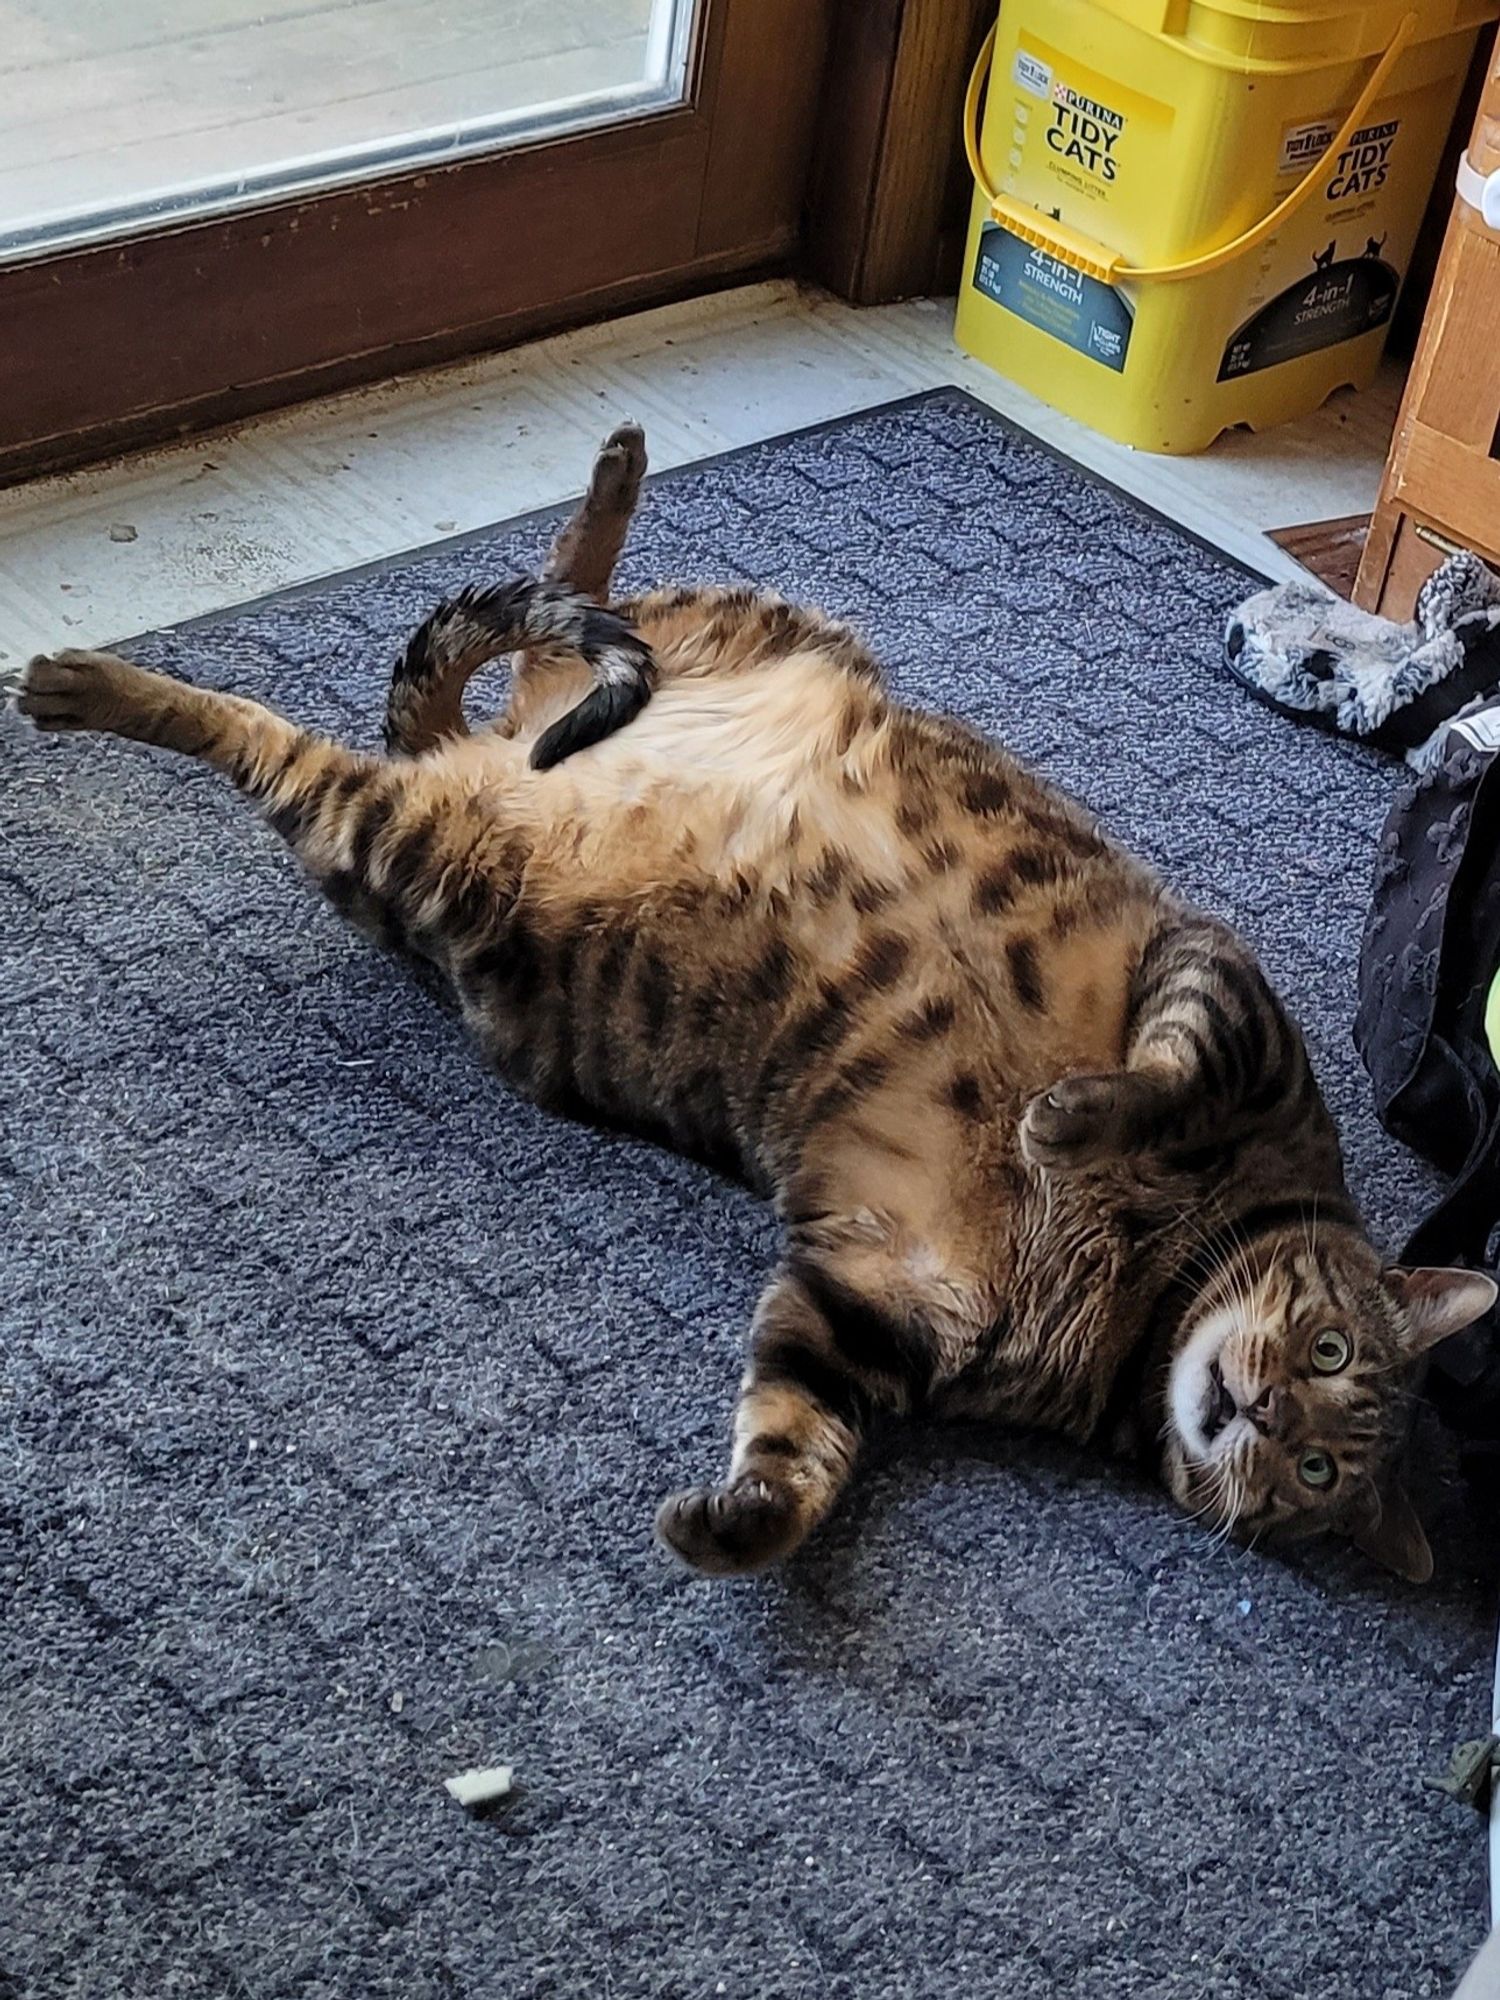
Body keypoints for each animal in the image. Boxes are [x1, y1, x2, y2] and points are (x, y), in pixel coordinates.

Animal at [17, 422, 1496, 1576]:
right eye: (1326, 1353)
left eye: (1322, 1470)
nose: (1262, 1417)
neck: (1146, 1284)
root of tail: (481, 766)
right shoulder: (1223, 988)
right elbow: (1160, 1070)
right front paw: (1066, 1121)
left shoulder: (868, 1297)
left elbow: (794, 1441)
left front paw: (732, 1520)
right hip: (657, 674)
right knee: (483, 636)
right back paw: (90, 674)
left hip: (423, 843)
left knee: (484, 661)